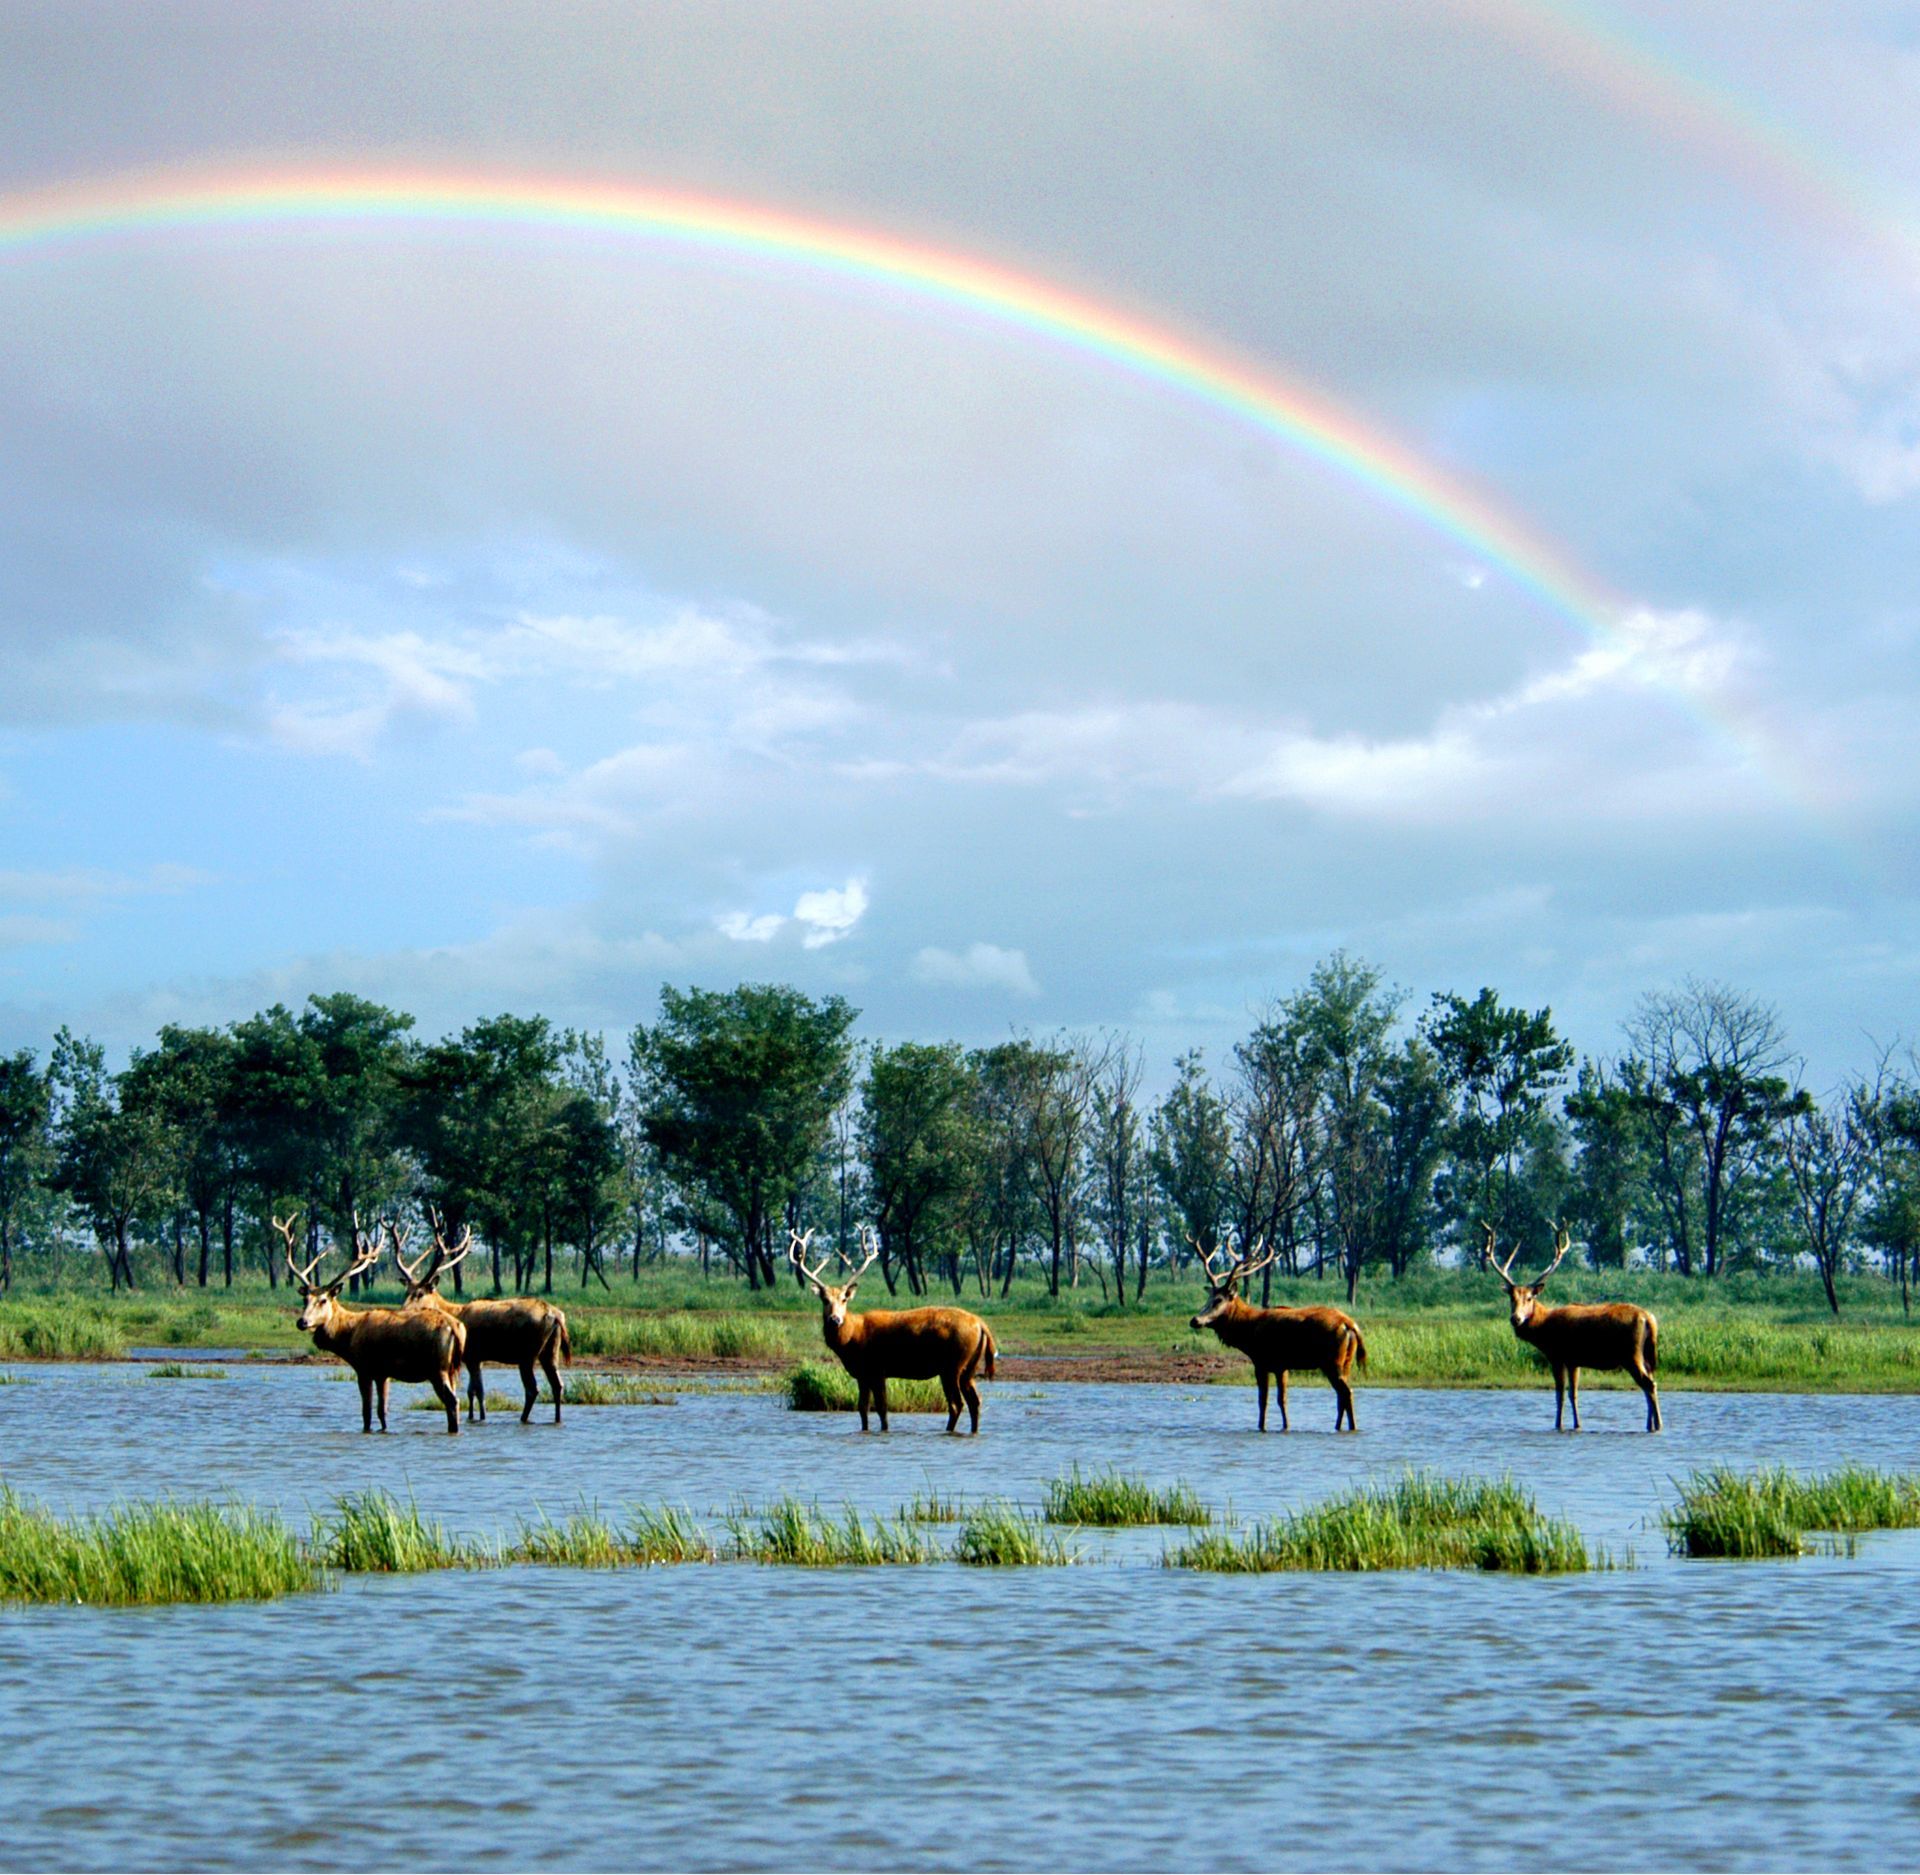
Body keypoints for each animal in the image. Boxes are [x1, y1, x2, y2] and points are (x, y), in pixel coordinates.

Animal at [276, 1212, 466, 1435]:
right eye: (305, 1300)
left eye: (323, 1300)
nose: (302, 1321)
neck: (348, 1337)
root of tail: (456, 1328)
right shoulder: (383, 1373)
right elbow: (382, 1411)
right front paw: (383, 1430)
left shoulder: (364, 1367)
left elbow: (366, 1413)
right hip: (452, 1369)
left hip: (437, 1368)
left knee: (453, 1401)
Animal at [387, 1212, 568, 1420]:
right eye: (406, 1291)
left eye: (420, 1293)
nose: (402, 1310)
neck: (455, 1312)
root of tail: (555, 1316)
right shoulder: (475, 1358)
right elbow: (472, 1391)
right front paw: (474, 1417)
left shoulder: (472, 1354)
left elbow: (477, 1391)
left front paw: (480, 1417)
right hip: (550, 1350)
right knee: (557, 1385)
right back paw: (557, 1419)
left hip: (527, 1353)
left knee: (533, 1389)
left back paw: (523, 1418)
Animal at [787, 1228, 998, 1435]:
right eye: (824, 1300)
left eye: (844, 1299)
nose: (835, 1319)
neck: (851, 1340)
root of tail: (981, 1324)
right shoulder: (862, 1374)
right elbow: (862, 1408)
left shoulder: (877, 1369)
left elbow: (882, 1408)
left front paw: (885, 1431)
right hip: (968, 1367)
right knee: (975, 1402)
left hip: (952, 1365)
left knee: (956, 1404)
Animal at [1182, 1235, 1367, 1427]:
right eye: (1208, 1298)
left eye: (1218, 1300)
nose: (1195, 1320)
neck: (1247, 1332)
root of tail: (1349, 1324)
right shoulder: (1281, 1367)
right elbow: (1282, 1400)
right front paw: (1286, 1426)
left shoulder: (1261, 1362)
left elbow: (1263, 1400)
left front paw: (1261, 1426)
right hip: (1346, 1362)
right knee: (1341, 1395)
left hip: (1332, 1361)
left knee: (1346, 1392)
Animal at [1489, 1220, 1658, 1427]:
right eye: (1511, 1298)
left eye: (1529, 1298)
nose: (1516, 1318)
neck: (1543, 1330)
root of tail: (1649, 1319)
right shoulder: (1574, 1361)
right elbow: (1574, 1394)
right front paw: (1577, 1424)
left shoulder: (1557, 1356)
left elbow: (1560, 1395)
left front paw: (1558, 1424)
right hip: (1646, 1355)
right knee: (1649, 1383)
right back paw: (1651, 1424)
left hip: (1631, 1354)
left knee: (1649, 1385)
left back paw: (1657, 1425)